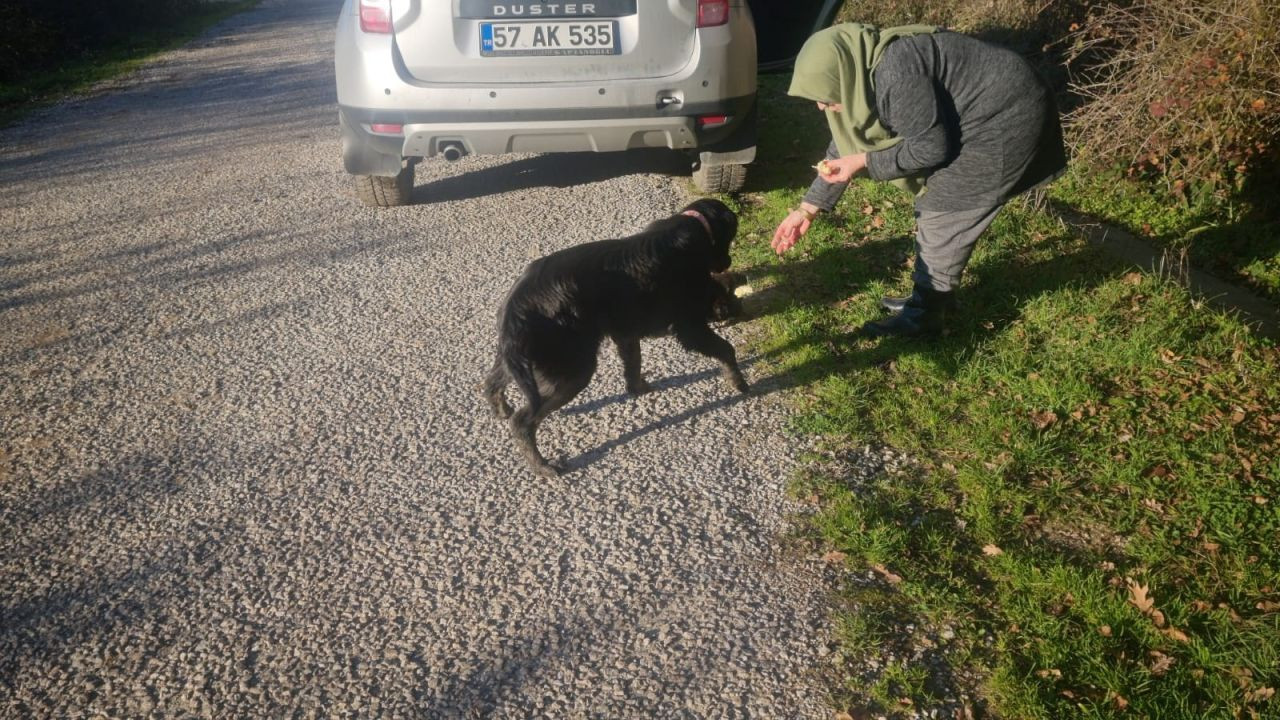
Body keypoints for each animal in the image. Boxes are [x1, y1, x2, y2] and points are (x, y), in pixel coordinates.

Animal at [488, 198, 747, 474]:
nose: (729, 262)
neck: (694, 226)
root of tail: (516, 307)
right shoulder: (690, 327)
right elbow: (727, 350)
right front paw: (739, 382)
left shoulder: (626, 332)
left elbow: (633, 366)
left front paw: (638, 389)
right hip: (573, 372)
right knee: (522, 422)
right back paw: (543, 466)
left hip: (524, 362)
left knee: (490, 384)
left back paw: (501, 410)